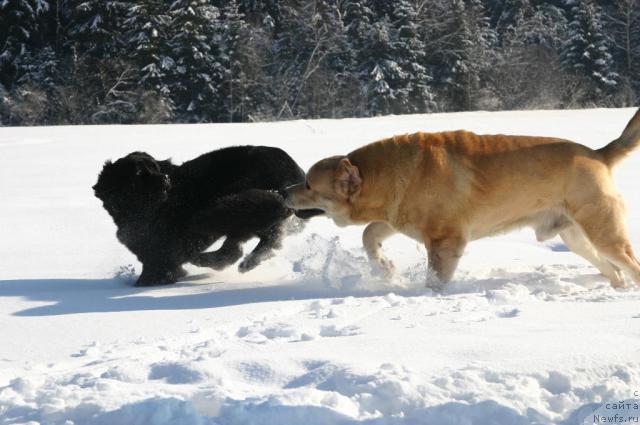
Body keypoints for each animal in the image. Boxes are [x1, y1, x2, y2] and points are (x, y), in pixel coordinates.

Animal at [93, 144, 322, 286]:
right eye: (140, 173)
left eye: (155, 168)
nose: (165, 178)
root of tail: (295, 170)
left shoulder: (160, 258)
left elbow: (155, 272)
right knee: (242, 246)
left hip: (234, 206)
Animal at [284, 109, 640, 288]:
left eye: (308, 183)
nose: (283, 191)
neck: (380, 176)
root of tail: (599, 153)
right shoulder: (395, 219)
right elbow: (369, 235)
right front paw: (385, 268)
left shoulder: (445, 241)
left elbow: (434, 279)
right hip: (577, 237)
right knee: (615, 272)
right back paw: (616, 287)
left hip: (604, 233)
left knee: (630, 265)